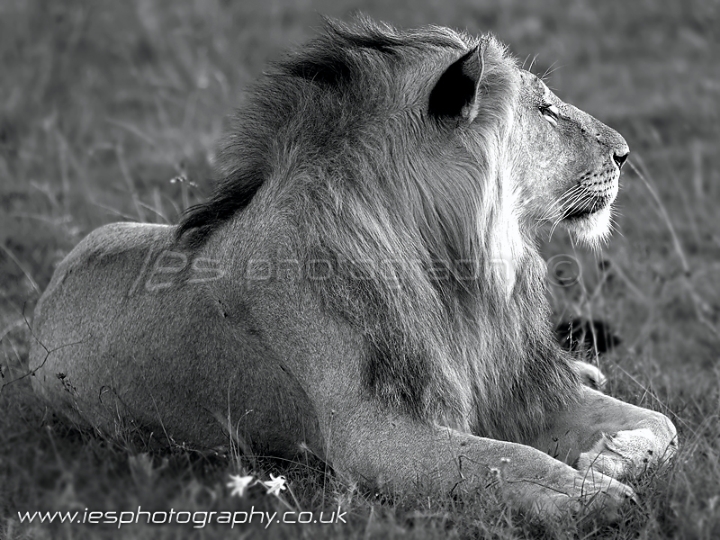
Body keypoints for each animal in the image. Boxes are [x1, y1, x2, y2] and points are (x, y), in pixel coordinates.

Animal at [31, 19, 676, 520]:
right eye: (544, 109)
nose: (624, 152)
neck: (459, 271)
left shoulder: (520, 388)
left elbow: (665, 426)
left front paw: (610, 457)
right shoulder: (369, 435)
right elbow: (502, 458)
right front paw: (594, 497)